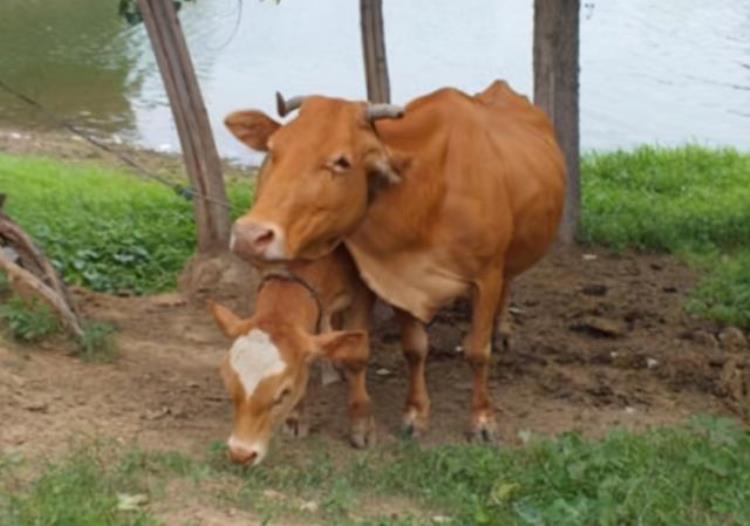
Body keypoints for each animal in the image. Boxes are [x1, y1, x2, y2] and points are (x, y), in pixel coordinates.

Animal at [210, 250, 374, 468]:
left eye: (283, 393)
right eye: (229, 386)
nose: (240, 454)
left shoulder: (363, 292)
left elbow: (356, 354)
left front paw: (360, 425)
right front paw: (296, 416)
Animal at [226, 79, 568, 442]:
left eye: (342, 161)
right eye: (274, 149)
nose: (250, 234)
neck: (427, 198)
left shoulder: (486, 276)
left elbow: (477, 350)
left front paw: (482, 419)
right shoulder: (398, 280)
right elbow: (414, 348)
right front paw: (415, 412)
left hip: (513, 256)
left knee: (508, 285)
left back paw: (501, 330)